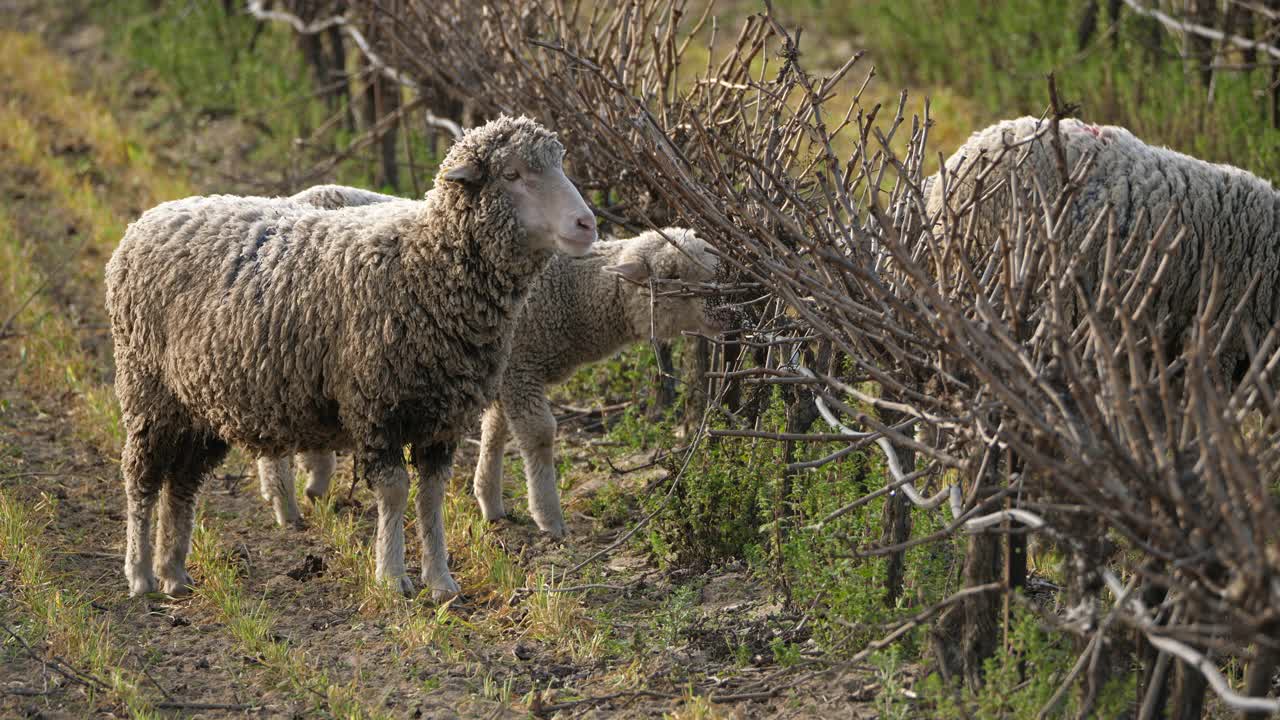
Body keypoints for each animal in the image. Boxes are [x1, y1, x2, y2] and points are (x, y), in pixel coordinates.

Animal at [102, 116, 596, 599]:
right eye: (512, 175)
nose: (586, 224)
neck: (425, 262)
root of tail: (147, 220)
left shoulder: (441, 416)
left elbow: (431, 496)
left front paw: (441, 582)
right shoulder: (376, 405)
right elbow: (395, 492)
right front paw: (392, 576)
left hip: (198, 404)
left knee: (181, 483)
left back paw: (174, 573)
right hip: (147, 387)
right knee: (142, 479)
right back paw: (140, 575)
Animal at [261, 224, 727, 532]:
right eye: (672, 276)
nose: (728, 315)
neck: (573, 295)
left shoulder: (505, 375)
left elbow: (497, 432)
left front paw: (489, 500)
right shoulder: (521, 366)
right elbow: (538, 434)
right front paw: (549, 517)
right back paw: (285, 504)